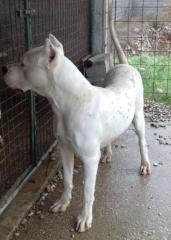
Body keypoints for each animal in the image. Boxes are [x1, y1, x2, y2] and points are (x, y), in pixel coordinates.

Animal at [2, 12, 150, 232]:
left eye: (23, 64)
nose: (3, 68)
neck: (67, 103)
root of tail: (126, 65)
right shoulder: (65, 148)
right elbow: (67, 180)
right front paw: (63, 202)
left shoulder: (89, 159)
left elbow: (88, 191)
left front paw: (84, 217)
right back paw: (107, 154)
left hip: (138, 118)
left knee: (142, 142)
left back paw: (145, 164)